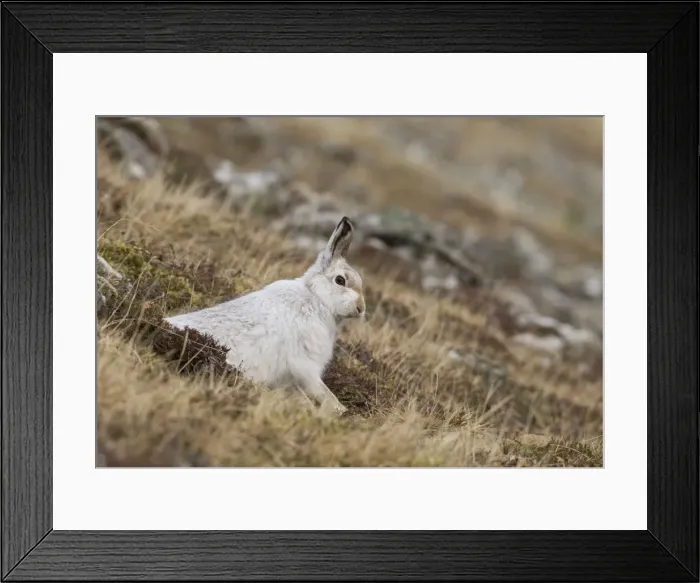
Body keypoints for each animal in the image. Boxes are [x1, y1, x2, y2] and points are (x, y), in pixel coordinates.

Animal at [164, 216, 366, 416]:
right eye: (340, 280)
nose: (361, 308)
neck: (316, 298)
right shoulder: (304, 363)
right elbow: (318, 388)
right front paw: (336, 409)